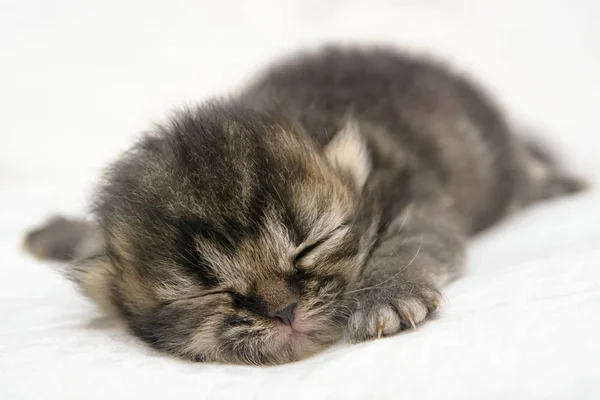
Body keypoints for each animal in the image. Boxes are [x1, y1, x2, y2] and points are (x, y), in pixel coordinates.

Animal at [22, 45, 584, 364]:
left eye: (308, 246)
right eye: (212, 290)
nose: (283, 311)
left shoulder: (413, 193)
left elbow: (411, 241)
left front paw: (388, 294)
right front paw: (65, 233)